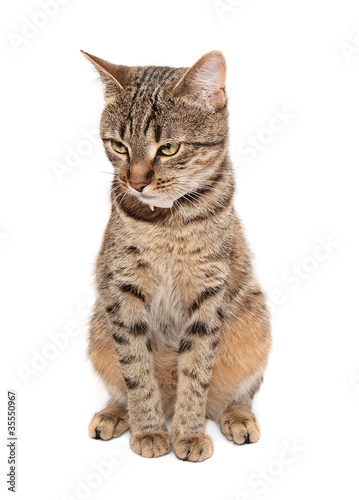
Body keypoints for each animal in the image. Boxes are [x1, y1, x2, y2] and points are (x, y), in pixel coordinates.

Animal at [81, 48, 272, 462]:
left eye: (168, 148)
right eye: (119, 146)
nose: (136, 182)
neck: (169, 223)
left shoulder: (208, 294)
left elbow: (196, 373)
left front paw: (188, 434)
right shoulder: (122, 291)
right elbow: (136, 371)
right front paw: (150, 431)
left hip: (254, 322)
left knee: (238, 394)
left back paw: (237, 416)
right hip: (99, 328)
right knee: (121, 385)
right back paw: (116, 413)